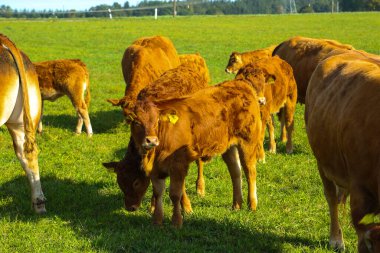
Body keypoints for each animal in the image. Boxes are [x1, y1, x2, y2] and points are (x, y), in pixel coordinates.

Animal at [104, 53, 209, 211]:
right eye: (120, 182)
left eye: (136, 182)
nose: (130, 207)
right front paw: (153, 206)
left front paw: (186, 206)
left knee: (200, 161)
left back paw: (200, 188)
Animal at [123, 79, 262, 227]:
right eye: (136, 122)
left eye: (157, 121)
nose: (151, 140)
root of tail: (240, 83)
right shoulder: (156, 169)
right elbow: (158, 192)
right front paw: (157, 220)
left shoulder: (178, 164)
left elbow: (175, 194)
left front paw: (177, 222)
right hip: (229, 146)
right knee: (236, 172)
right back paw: (236, 205)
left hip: (248, 142)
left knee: (250, 172)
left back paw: (252, 204)